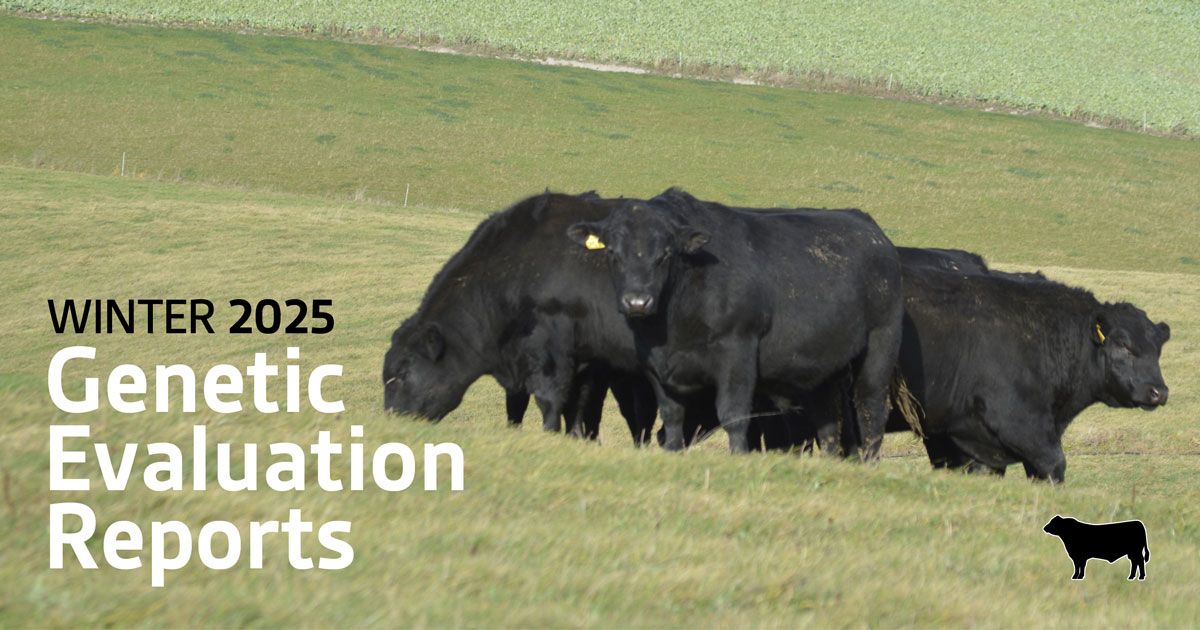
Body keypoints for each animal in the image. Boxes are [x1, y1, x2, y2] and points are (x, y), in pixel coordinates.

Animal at [567, 188, 904, 457]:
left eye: (665, 254)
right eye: (613, 252)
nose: (637, 302)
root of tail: (871, 230)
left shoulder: (737, 349)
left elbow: (733, 413)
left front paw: (739, 456)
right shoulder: (654, 362)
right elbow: (672, 414)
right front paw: (673, 452)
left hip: (881, 343)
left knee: (871, 407)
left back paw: (870, 461)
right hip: (823, 364)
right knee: (828, 418)